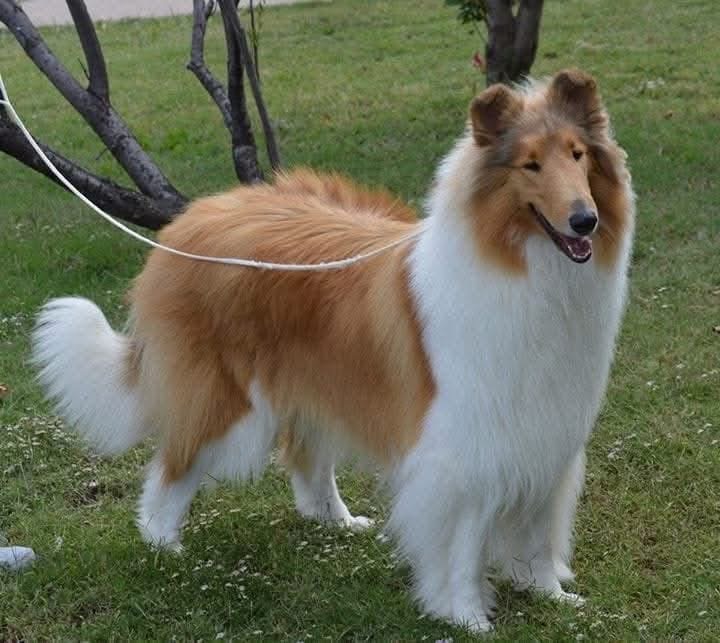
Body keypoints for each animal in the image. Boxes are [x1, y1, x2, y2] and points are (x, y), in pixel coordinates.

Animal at [32, 69, 634, 632]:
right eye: (530, 165)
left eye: (578, 155)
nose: (585, 220)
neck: (530, 268)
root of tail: (189, 219)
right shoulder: (463, 451)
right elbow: (461, 545)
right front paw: (465, 616)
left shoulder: (545, 437)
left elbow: (537, 533)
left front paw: (551, 597)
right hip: (222, 398)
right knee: (171, 468)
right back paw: (164, 545)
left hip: (314, 378)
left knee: (306, 459)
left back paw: (336, 522)